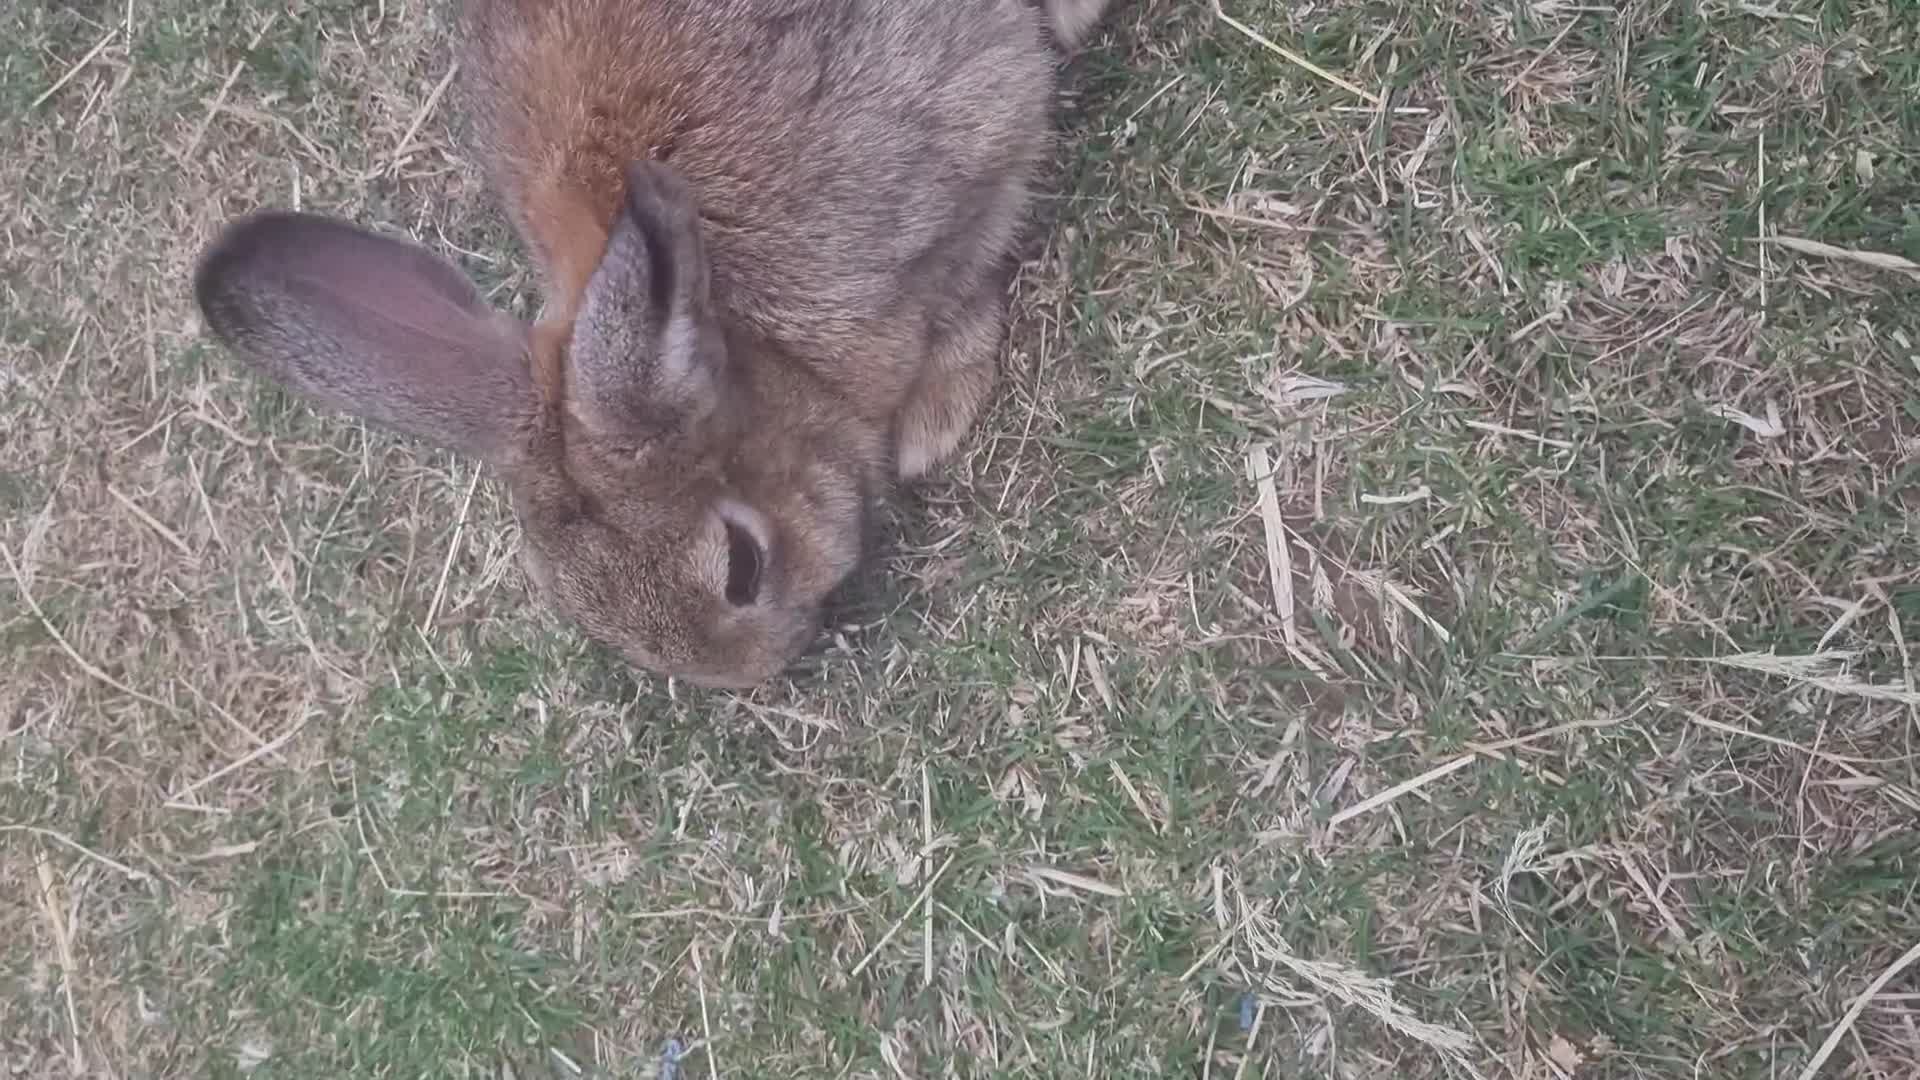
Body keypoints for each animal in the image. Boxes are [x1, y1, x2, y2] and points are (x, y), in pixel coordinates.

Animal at [193, 0, 1115, 689]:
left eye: (741, 566)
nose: (759, 667)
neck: (748, 335)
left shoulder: (971, 144)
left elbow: (970, 276)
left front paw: (932, 424)